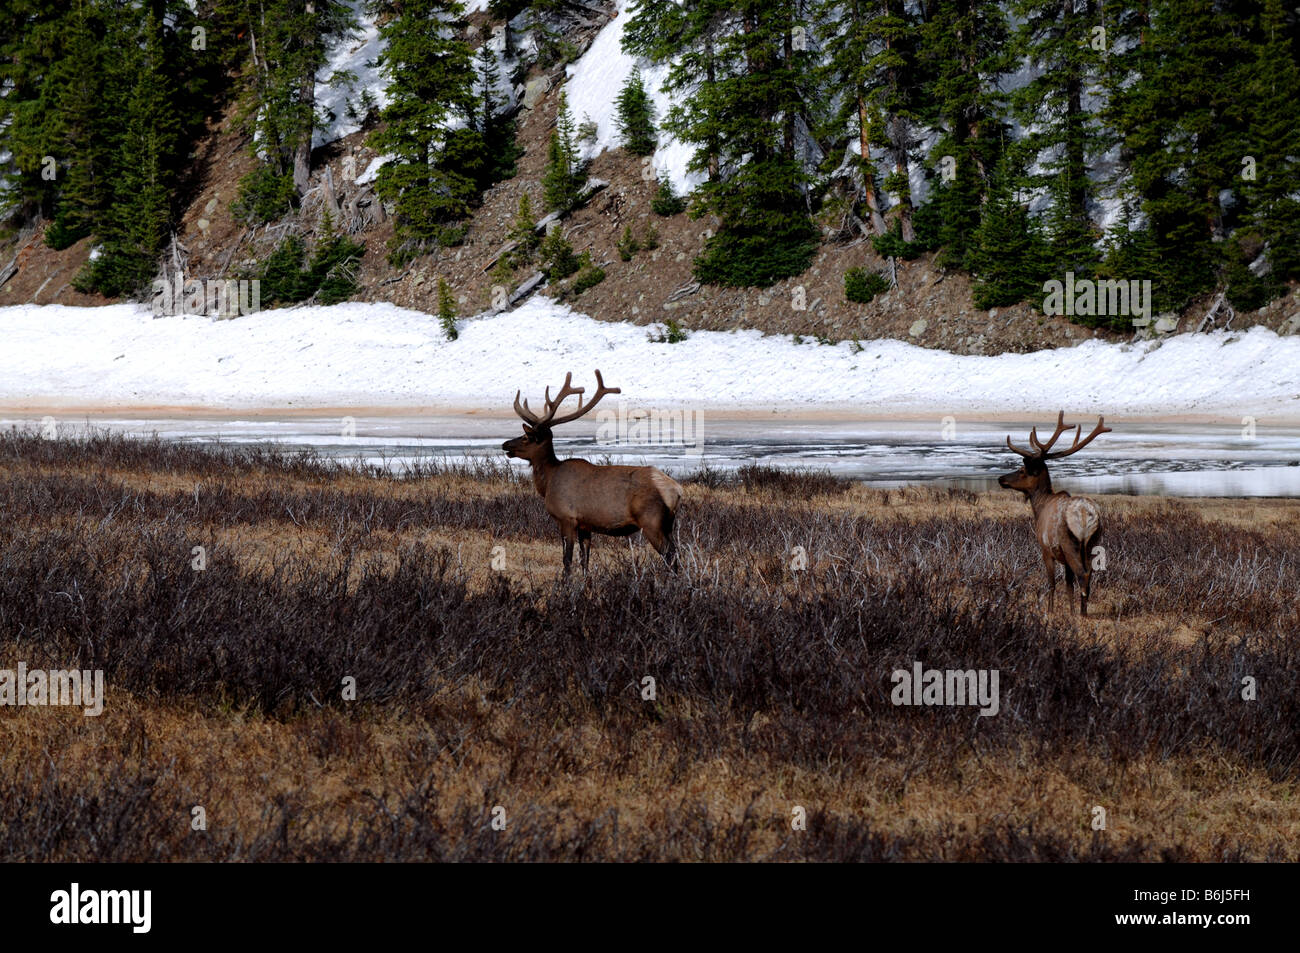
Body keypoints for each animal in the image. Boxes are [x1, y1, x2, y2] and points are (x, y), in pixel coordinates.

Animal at [496, 369, 686, 572]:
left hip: (651, 521)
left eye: (526, 437)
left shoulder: (567, 518)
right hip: (668, 525)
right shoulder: (585, 525)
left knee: (671, 556)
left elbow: (567, 560)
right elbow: (584, 560)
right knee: (676, 553)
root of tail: (676, 490)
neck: (548, 482)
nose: (505, 444)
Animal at [998, 410, 1112, 616]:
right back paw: (1082, 610)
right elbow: (1068, 585)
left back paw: (1083, 613)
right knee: (1089, 574)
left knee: (1083, 575)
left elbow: (1052, 582)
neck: (1040, 506)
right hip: (1092, 543)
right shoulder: (1064, 558)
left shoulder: (1045, 549)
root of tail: (1085, 514)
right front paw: (1070, 611)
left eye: (1022, 470)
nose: (1001, 479)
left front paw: (1049, 610)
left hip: (1069, 544)